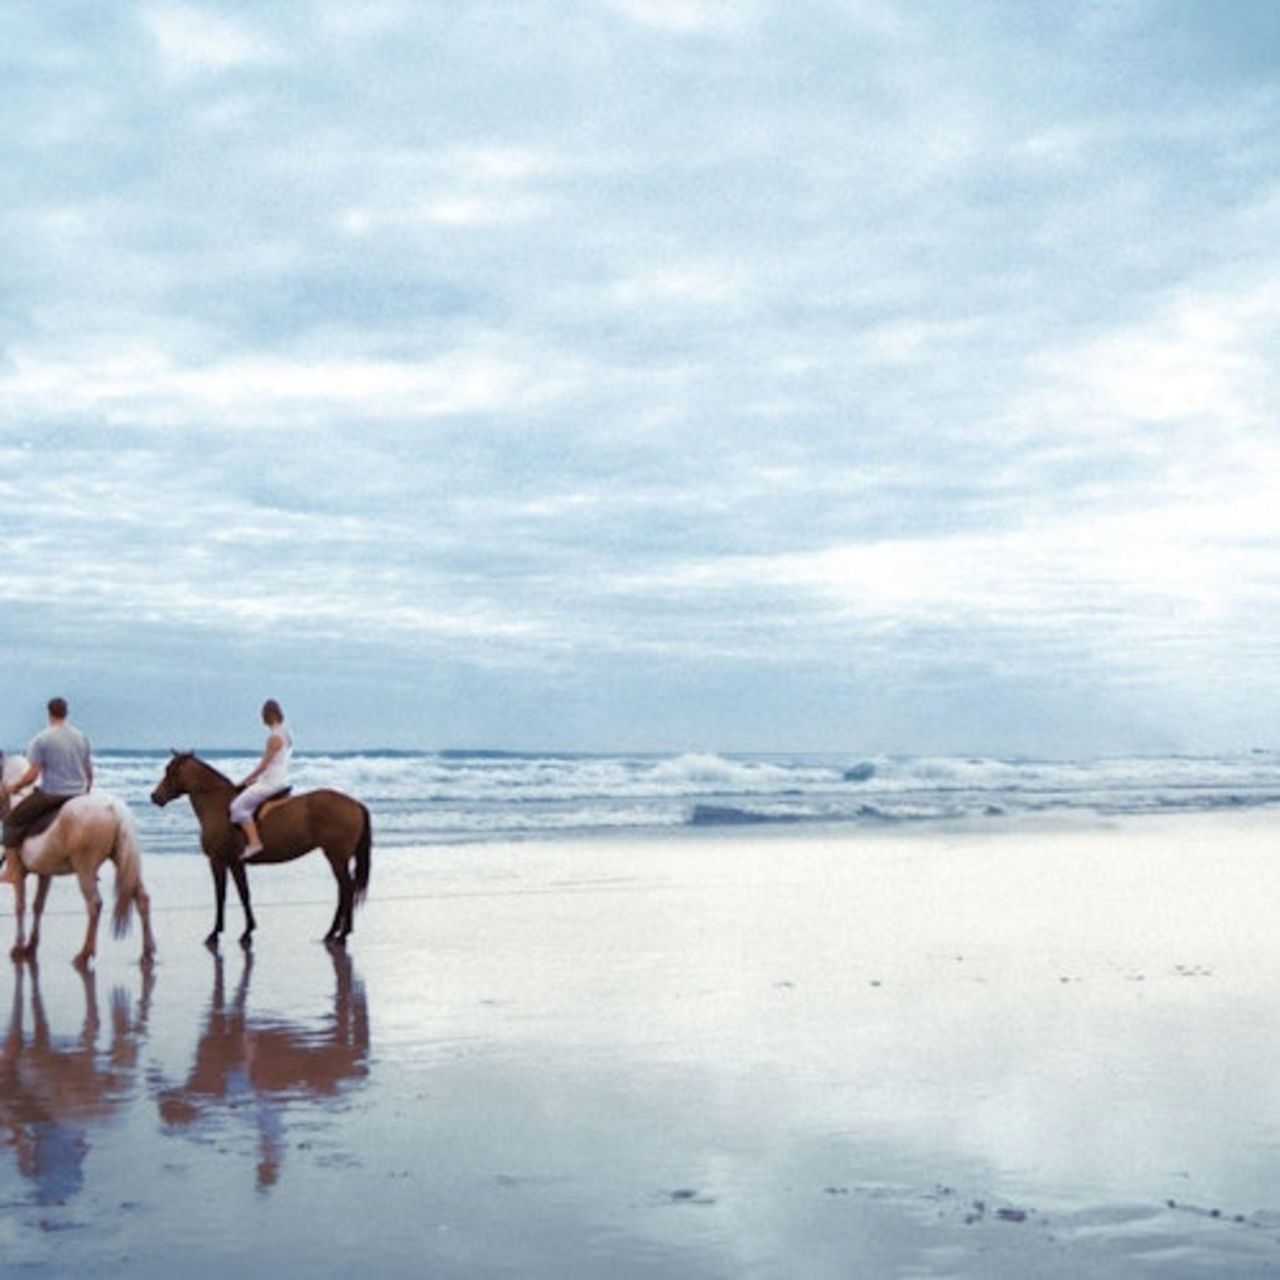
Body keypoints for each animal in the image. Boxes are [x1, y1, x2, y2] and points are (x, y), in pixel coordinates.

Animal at [1, 755, 156, 969]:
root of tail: (115, 811)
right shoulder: (44, 874)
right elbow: (37, 906)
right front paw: (30, 946)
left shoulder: (19, 873)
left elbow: (20, 906)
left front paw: (18, 947)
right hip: (123, 861)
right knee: (142, 899)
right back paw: (146, 953)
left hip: (85, 869)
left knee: (94, 904)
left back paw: (85, 954)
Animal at [149, 751, 371, 950]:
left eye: (171, 771)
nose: (154, 796)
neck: (219, 806)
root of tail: (355, 803)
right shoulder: (235, 863)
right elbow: (244, 894)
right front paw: (247, 931)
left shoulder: (219, 861)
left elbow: (221, 895)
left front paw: (216, 932)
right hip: (337, 858)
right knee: (345, 889)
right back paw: (334, 932)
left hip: (336, 858)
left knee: (346, 889)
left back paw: (341, 933)